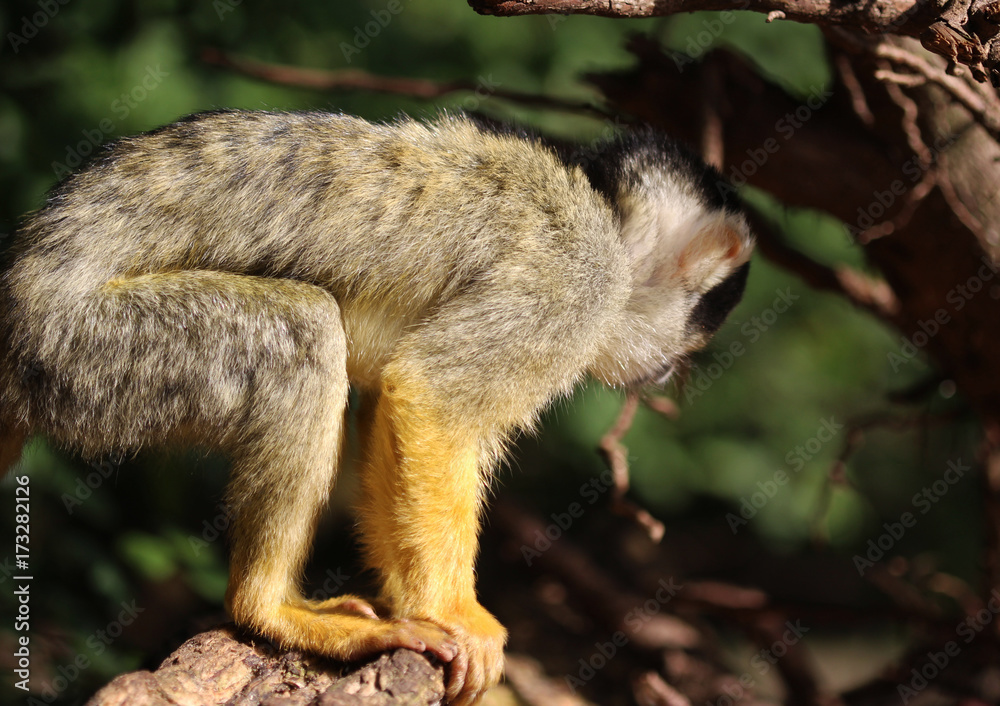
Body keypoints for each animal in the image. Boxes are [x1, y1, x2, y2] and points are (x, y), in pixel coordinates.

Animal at [0, 110, 752, 705]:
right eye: (688, 340)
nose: (666, 371)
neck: (607, 219)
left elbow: (394, 405)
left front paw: (415, 603)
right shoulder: (576, 281)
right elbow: (430, 395)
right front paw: (458, 615)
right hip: (89, 350)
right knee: (303, 334)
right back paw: (266, 609)